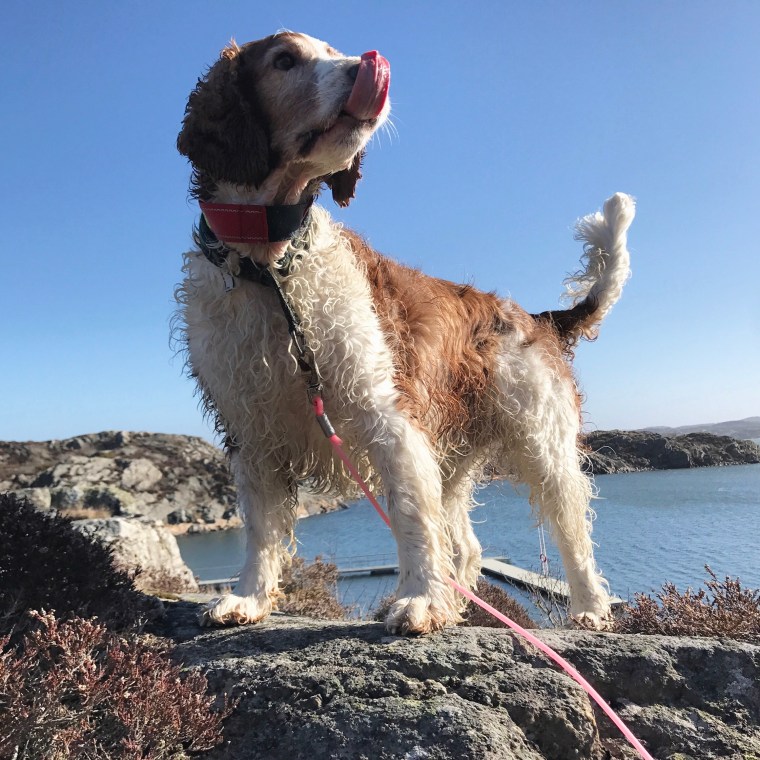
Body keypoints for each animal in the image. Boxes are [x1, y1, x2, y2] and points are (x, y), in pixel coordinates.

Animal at [175, 31, 635, 634]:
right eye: (285, 60)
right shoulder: (252, 432)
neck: (271, 266)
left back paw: (587, 609)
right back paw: (459, 604)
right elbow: (261, 529)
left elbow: (412, 519)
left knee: (572, 532)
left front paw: (417, 600)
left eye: (330, 49)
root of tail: (538, 318)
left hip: (544, 443)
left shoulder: (387, 415)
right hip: (454, 459)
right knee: (467, 547)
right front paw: (247, 598)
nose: (367, 67)